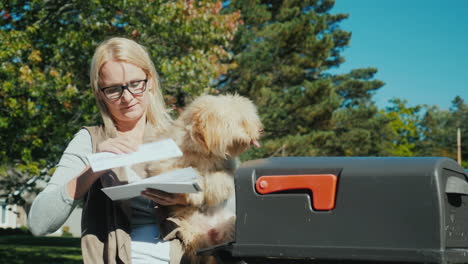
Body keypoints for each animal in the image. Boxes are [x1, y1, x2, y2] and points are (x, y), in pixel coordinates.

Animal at [147, 94, 262, 262]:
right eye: (241, 121)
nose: (260, 129)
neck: (203, 152)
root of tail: (212, 233)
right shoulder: (162, 166)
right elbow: (185, 173)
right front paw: (195, 193)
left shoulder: (229, 169)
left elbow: (219, 178)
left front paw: (211, 192)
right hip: (191, 234)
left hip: (229, 227)